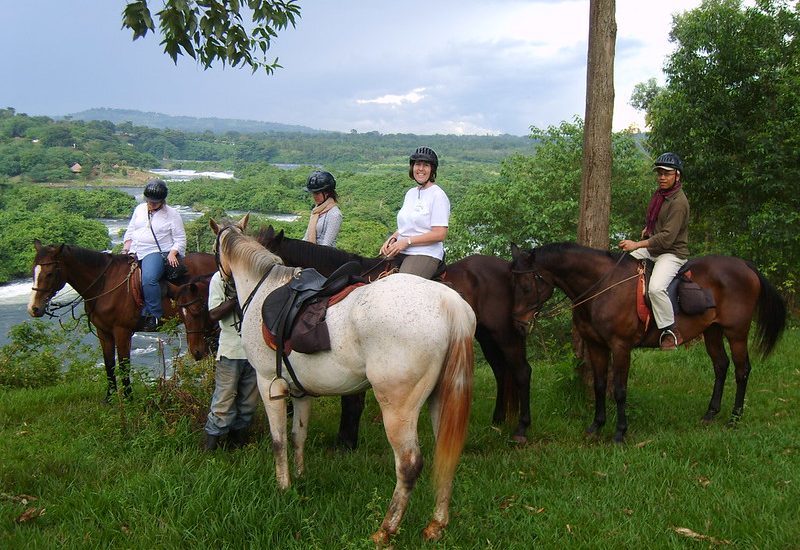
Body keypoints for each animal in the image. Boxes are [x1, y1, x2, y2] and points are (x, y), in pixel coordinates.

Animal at [28, 242, 217, 402]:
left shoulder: (122, 331)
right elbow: (109, 364)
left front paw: (128, 399)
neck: (105, 284)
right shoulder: (103, 332)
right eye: (33, 271)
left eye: (50, 273)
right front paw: (109, 398)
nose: (34, 308)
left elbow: (124, 365)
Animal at [214, 217, 476, 544]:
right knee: (445, 456)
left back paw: (385, 530)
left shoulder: (268, 383)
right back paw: (436, 525)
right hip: (441, 397)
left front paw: (283, 486)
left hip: (398, 408)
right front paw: (300, 478)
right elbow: (298, 435)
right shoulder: (301, 392)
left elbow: (278, 440)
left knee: (409, 464)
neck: (265, 289)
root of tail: (449, 302)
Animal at [256, 224, 532, 444]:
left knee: (521, 371)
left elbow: (352, 400)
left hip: (506, 334)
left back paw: (521, 429)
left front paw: (346, 441)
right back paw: (498, 420)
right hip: (486, 336)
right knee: (501, 371)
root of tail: (506, 268)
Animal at [510, 244, 784, 446]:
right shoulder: (596, 346)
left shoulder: (620, 347)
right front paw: (595, 426)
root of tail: (744, 265)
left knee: (742, 370)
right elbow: (599, 386)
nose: (518, 325)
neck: (601, 287)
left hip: (736, 332)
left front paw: (619, 433)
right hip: (712, 331)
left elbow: (619, 390)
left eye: (526, 286)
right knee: (721, 366)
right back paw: (710, 414)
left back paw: (735, 417)